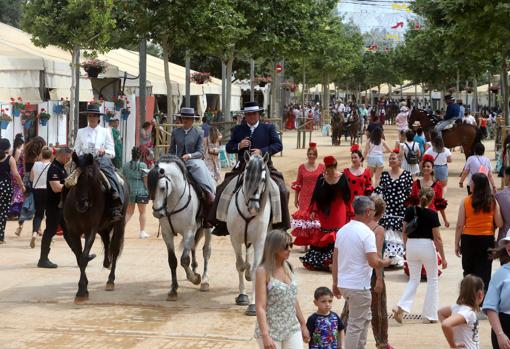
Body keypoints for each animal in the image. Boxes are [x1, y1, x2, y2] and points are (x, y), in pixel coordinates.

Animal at [63, 154, 127, 304]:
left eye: (91, 177)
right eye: (76, 176)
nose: (82, 204)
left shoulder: (90, 230)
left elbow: (83, 257)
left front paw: (81, 292)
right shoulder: (73, 232)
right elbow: (79, 258)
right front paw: (84, 287)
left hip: (119, 224)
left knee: (115, 249)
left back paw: (110, 280)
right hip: (103, 228)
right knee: (107, 242)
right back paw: (107, 262)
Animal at [148, 155, 212, 300]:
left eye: (162, 188)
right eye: (149, 186)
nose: (157, 213)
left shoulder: (188, 232)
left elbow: (184, 260)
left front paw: (195, 279)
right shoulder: (167, 234)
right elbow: (172, 261)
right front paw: (173, 290)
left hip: (207, 229)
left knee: (206, 251)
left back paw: (204, 280)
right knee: (193, 247)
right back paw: (194, 269)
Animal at [227, 153, 272, 316]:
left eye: (263, 179)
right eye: (246, 176)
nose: (253, 207)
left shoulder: (259, 240)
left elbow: (255, 269)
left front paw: (253, 305)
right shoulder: (235, 238)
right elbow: (239, 265)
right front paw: (242, 296)